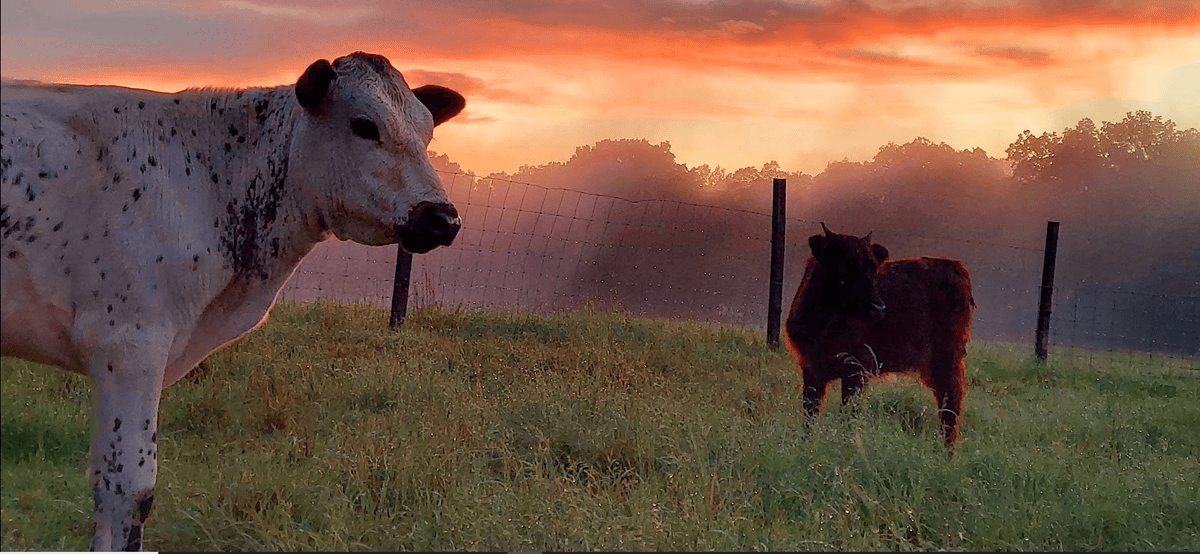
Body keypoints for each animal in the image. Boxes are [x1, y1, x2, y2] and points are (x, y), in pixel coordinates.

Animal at [784, 223, 974, 450]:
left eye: (873, 268)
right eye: (843, 264)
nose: (879, 307)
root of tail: (954, 265)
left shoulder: (857, 371)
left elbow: (848, 414)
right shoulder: (811, 370)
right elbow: (809, 414)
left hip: (947, 362)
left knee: (950, 409)